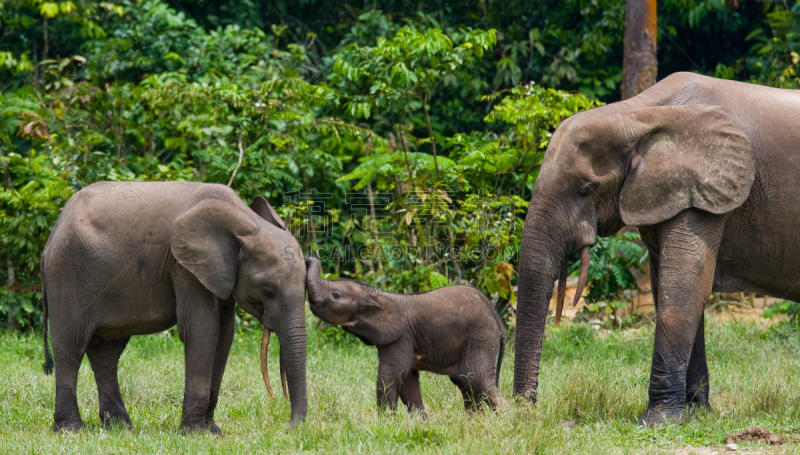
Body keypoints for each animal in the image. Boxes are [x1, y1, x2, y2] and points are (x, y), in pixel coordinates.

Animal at [41, 180, 310, 432]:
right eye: (268, 291)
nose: (289, 427)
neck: (243, 218)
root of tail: (52, 235)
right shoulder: (184, 268)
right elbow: (202, 330)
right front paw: (196, 432)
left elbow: (224, 336)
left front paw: (212, 430)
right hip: (68, 272)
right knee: (71, 346)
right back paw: (71, 429)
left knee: (107, 352)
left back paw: (120, 427)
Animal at [304, 258, 506, 416]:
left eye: (336, 295)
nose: (307, 259)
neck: (374, 293)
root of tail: (497, 320)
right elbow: (408, 380)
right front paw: (419, 422)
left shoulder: (401, 338)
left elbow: (389, 376)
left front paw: (386, 421)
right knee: (466, 383)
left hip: (480, 338)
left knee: (477, 379)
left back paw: (507, 419)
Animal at [512, 73, 800, 426]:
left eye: (585, 190)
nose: (526, 412)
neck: (636, 115)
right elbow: (671, 289)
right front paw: (695, 414)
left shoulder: (700, 190)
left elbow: (683, 290)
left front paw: (658, 421)